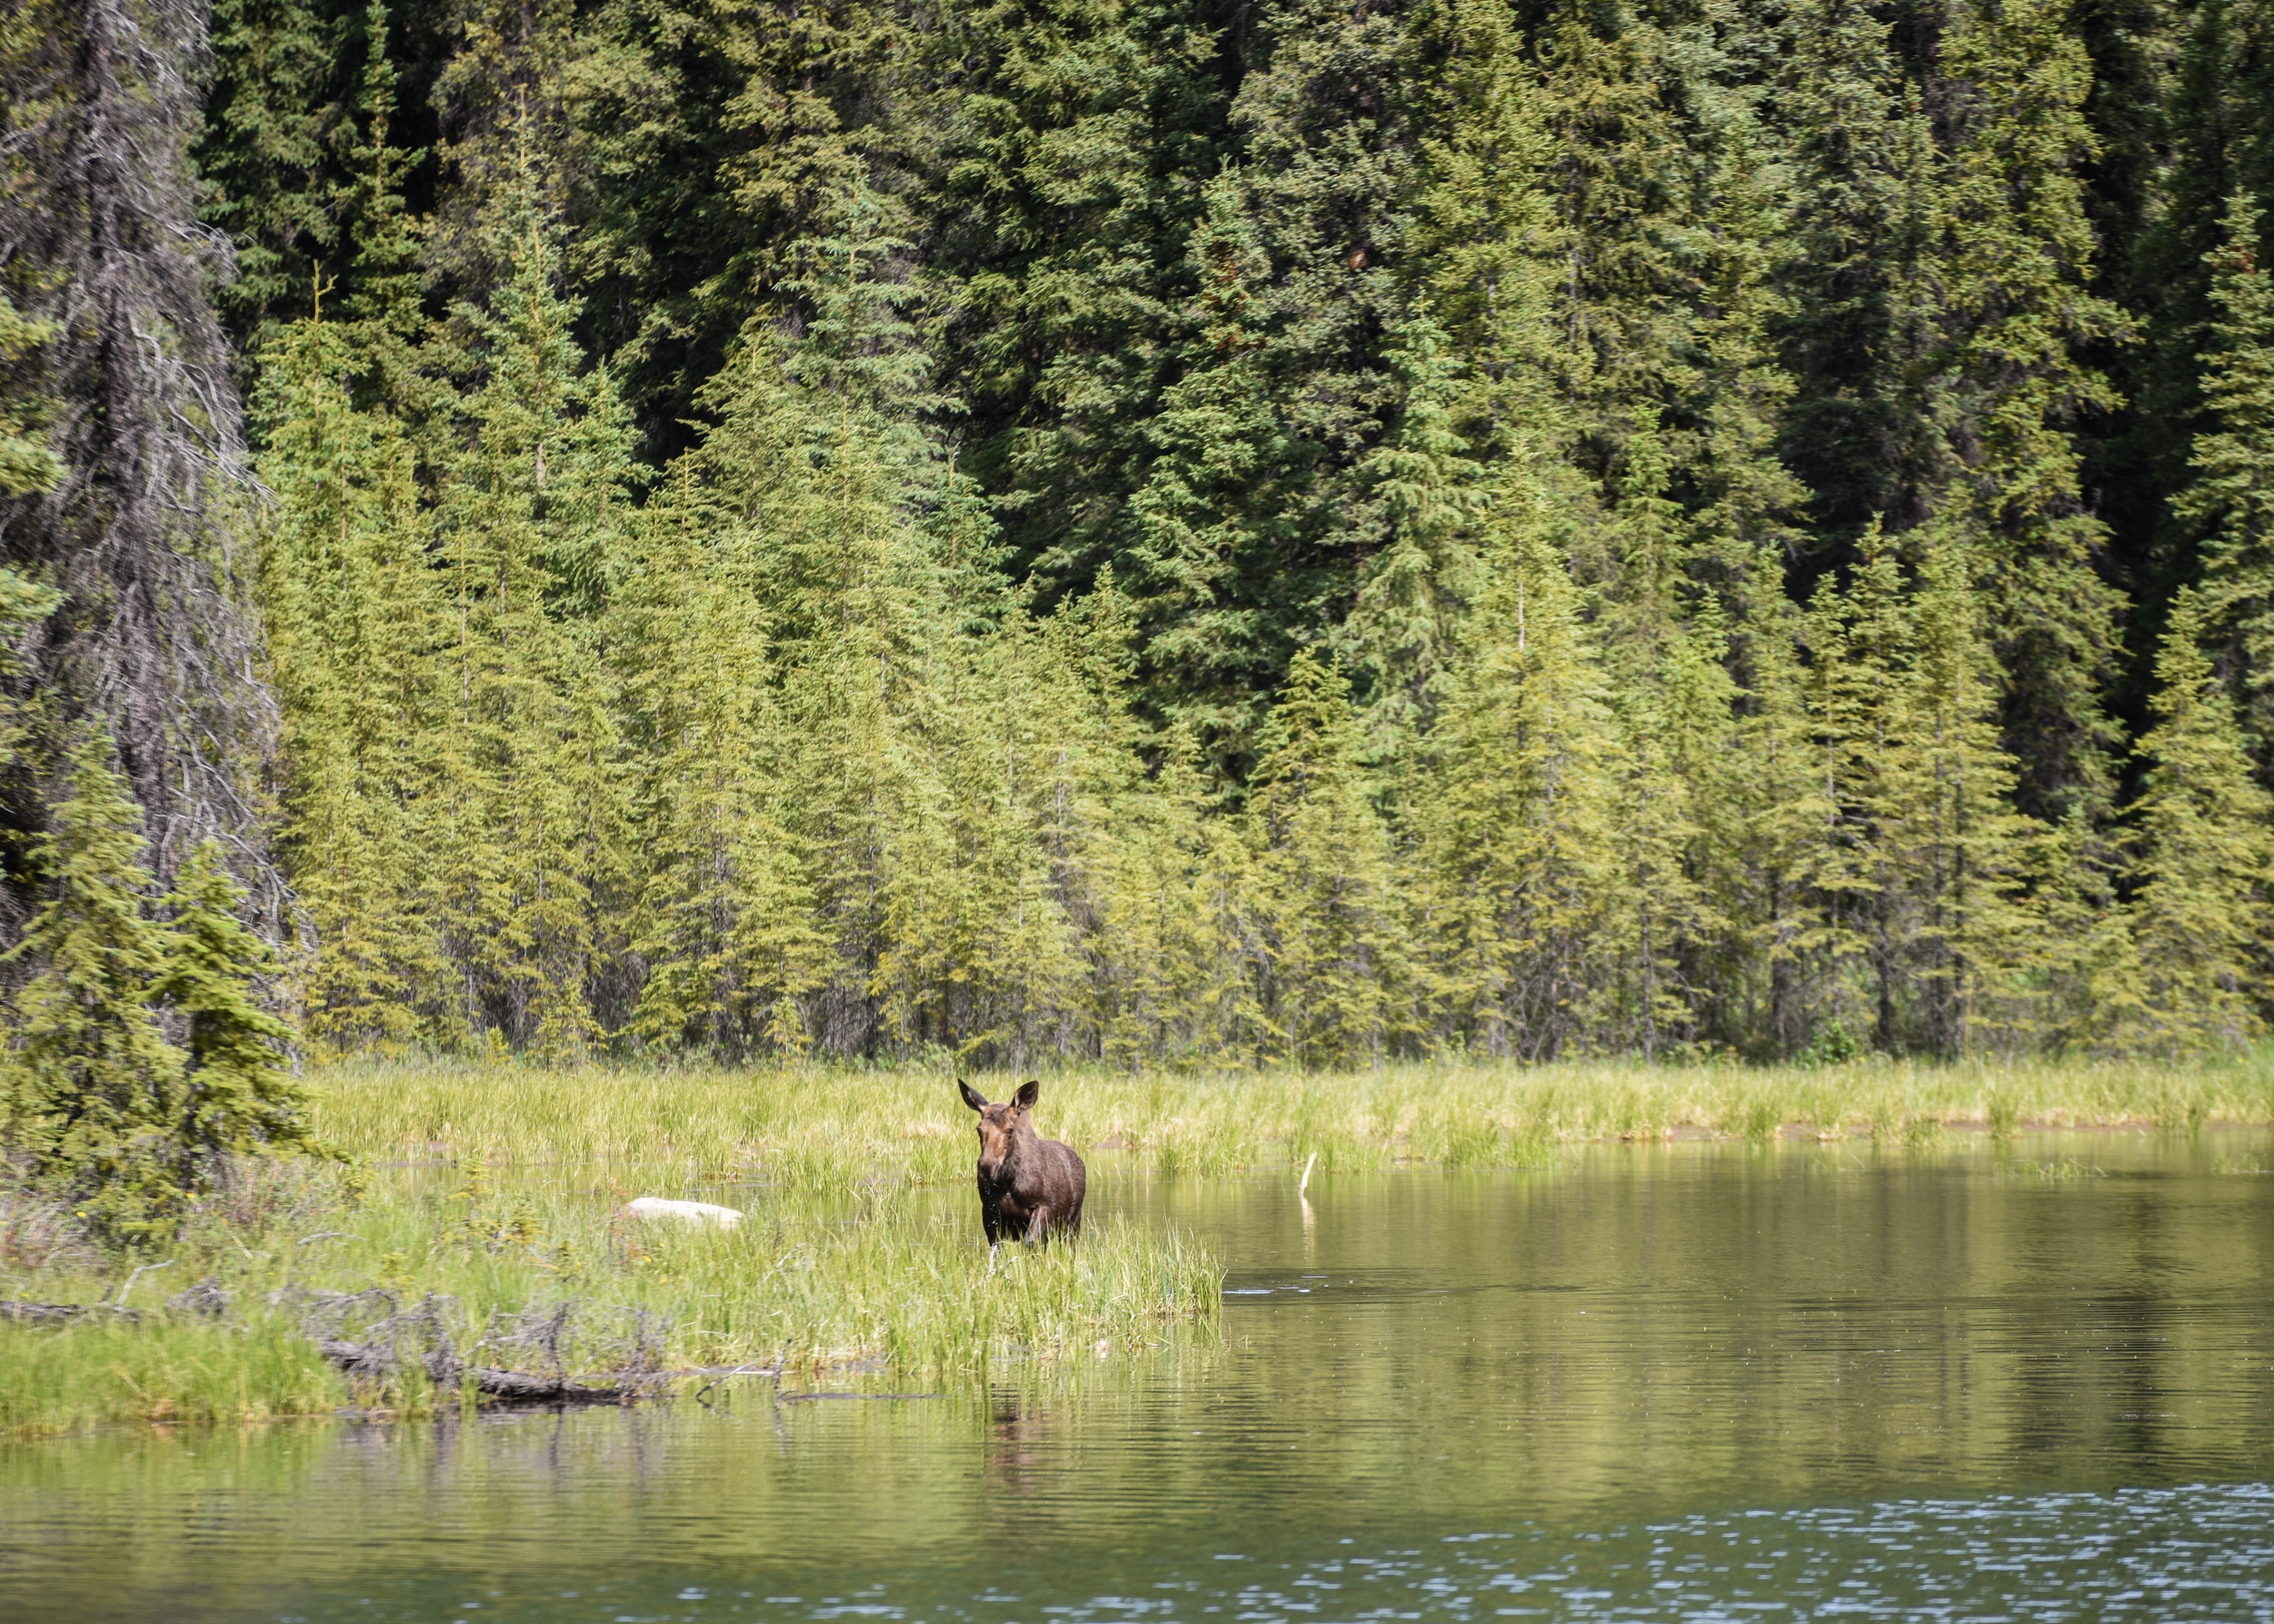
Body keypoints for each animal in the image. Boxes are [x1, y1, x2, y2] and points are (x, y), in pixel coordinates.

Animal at [958, 1079, 1086, 1246]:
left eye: (1010, 1130)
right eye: (979, 1129)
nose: (987, 1167)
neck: (1007, 1181)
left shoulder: (1044, 1206)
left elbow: (1030, 1240)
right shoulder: (990, 1211)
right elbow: (996, 1245)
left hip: (1073, 1221)